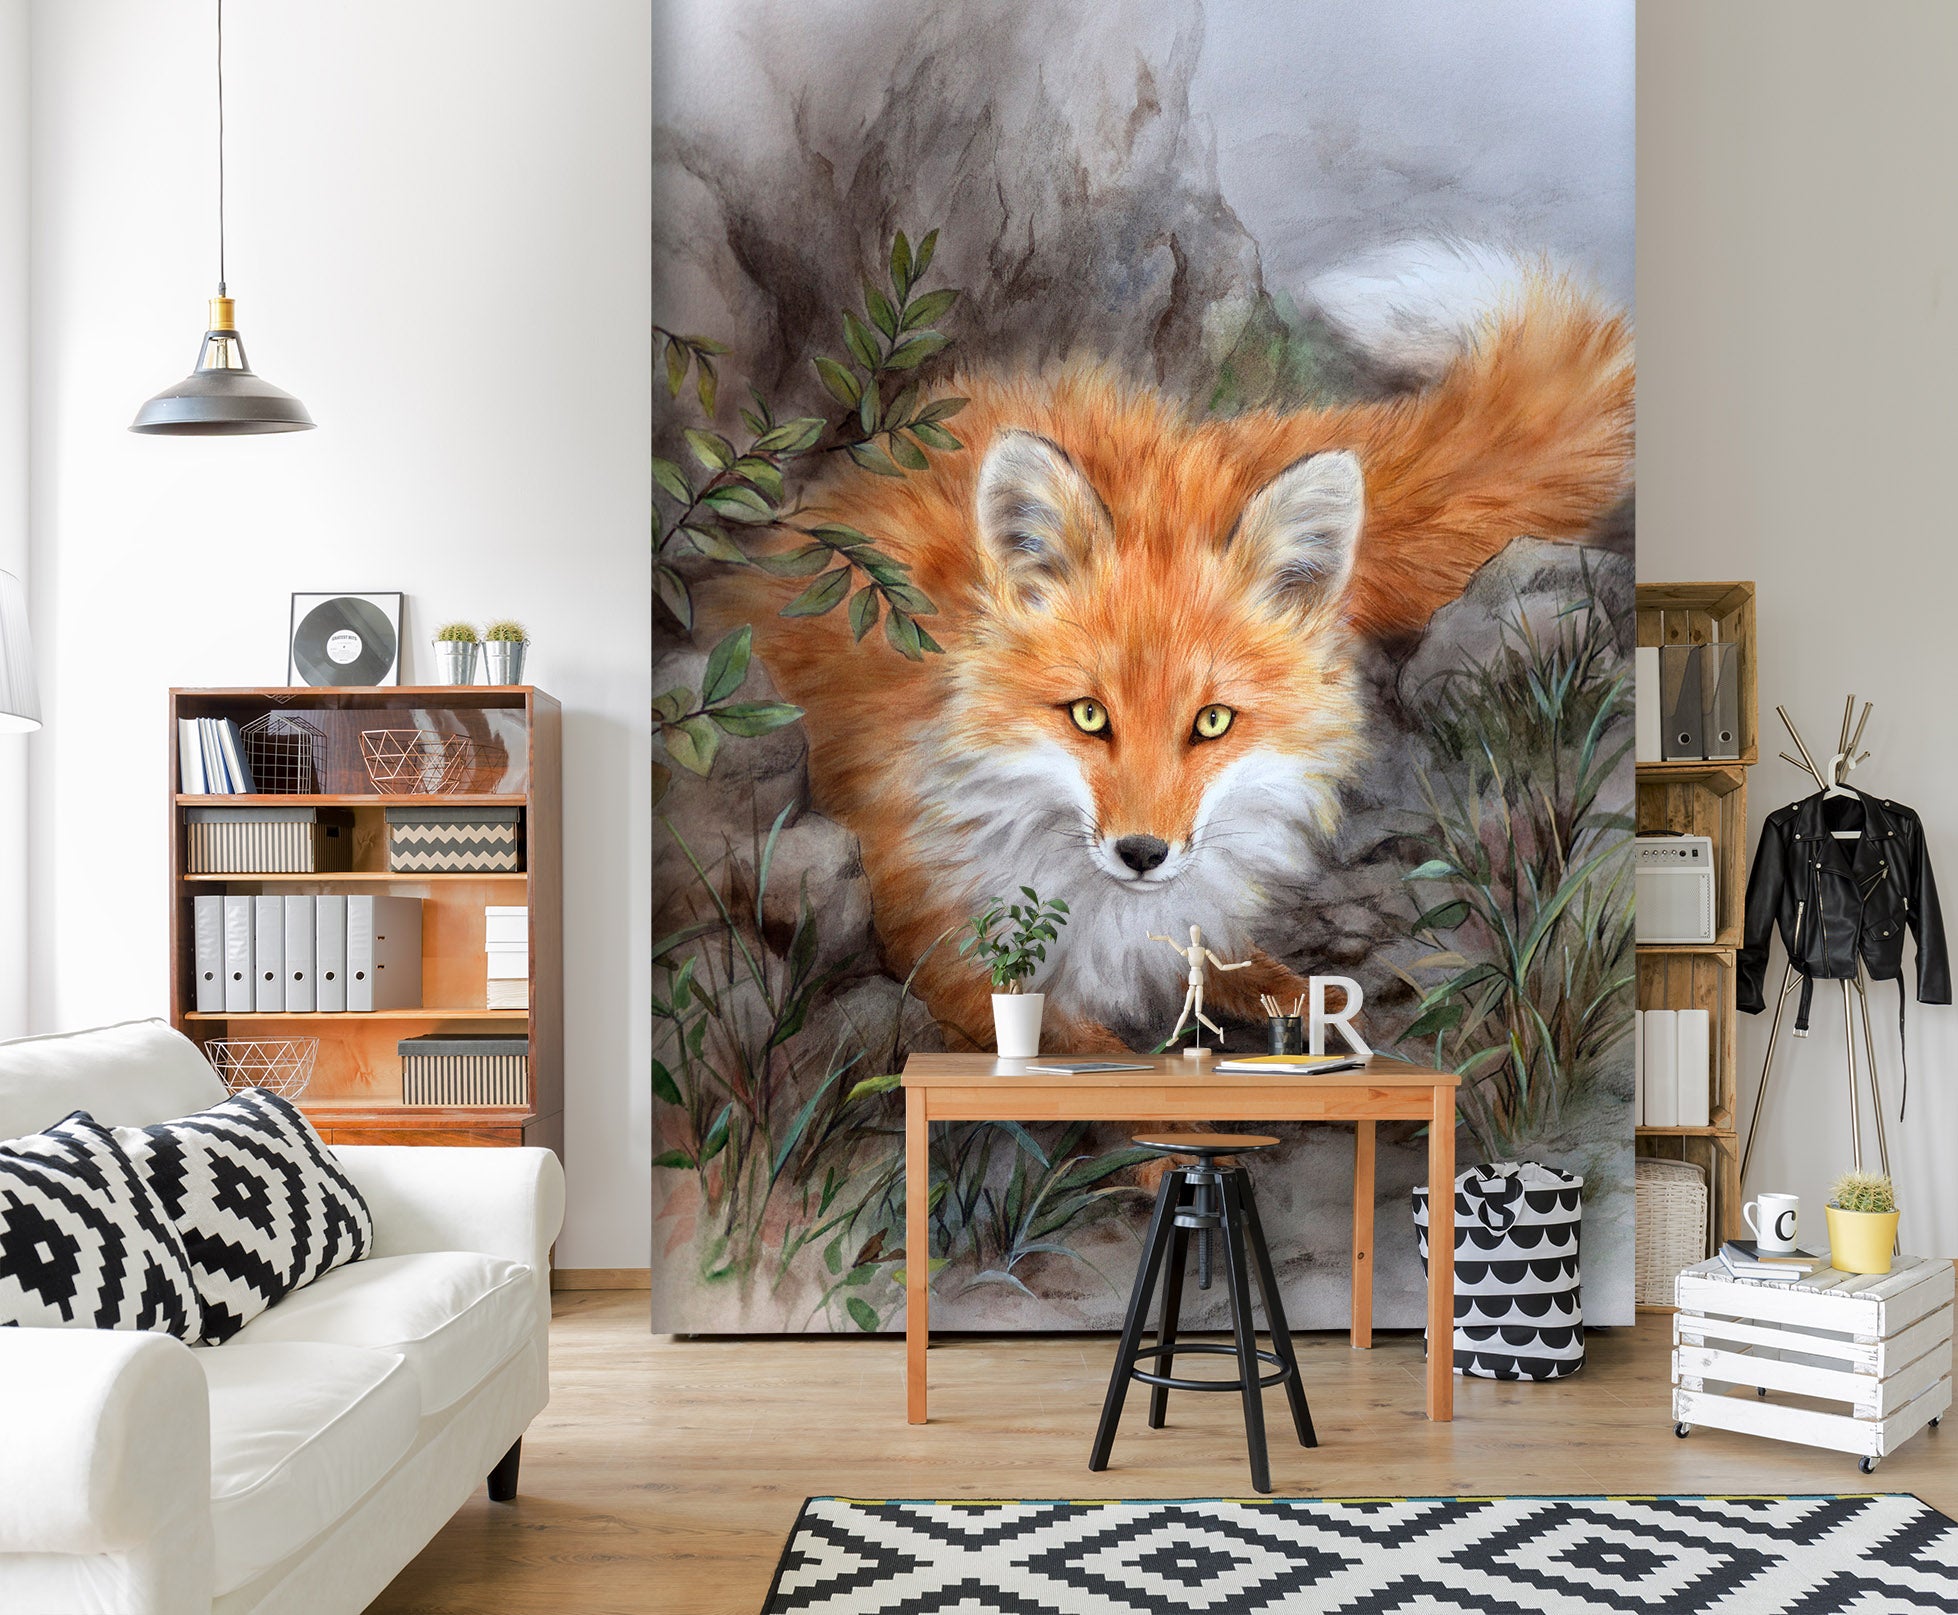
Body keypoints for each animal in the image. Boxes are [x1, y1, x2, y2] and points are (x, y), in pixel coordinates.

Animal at [714, 248, 1633, 1052]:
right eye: (1088, 716)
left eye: (1213, 721)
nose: (1143, 854)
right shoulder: (944, 947)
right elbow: (1091, 1071)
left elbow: (1253, 976)